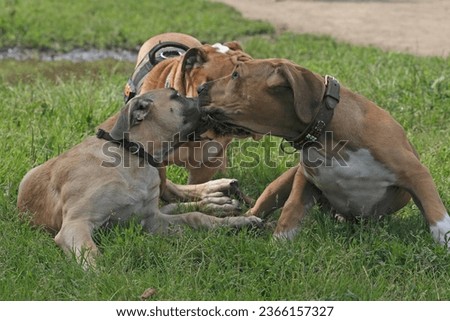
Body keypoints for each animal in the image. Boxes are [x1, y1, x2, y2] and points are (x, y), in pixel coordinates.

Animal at [17, 89, 262, 266]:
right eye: (177, 95)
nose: (207, 92)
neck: (134, 156)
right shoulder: (76, 224)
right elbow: (92, 255)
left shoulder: (152, 220)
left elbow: (196, 218)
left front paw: (236, 222)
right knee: (172, 203)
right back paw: (217, 201)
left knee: (175, 195)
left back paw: (217, 195)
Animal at [200, 57, 450, 248]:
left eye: (235, 75)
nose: (201, 88)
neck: (325, 135)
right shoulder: (305, 179)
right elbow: (291, 209)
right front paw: (279, 245)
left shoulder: (416, 174)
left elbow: (437, 214)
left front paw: (444, 243)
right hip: (280, 185)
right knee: (257, 209)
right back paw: (241, 222)